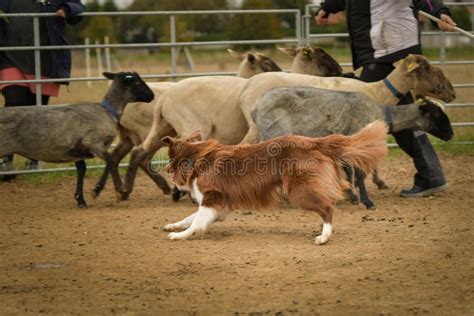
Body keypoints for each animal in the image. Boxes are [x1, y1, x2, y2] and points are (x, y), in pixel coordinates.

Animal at [0, 71, 154, 207]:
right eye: (137, 82)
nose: (152, 96)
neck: (107, 111)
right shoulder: (93, 142)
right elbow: (110, 161)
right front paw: (98, 190)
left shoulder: (78, 152)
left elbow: (82, 169)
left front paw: (81, 200)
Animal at [161, 120, 386, 244]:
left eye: (170, 160)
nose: (166, 170)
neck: (195, 158)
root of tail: (314, 141)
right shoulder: (221, 206)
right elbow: (190, 217)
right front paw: (173, 225)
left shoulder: (212, 199)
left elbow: (196, 221)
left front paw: (181, 235)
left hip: (299, 191)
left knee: (328, 208)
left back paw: (324, 237)